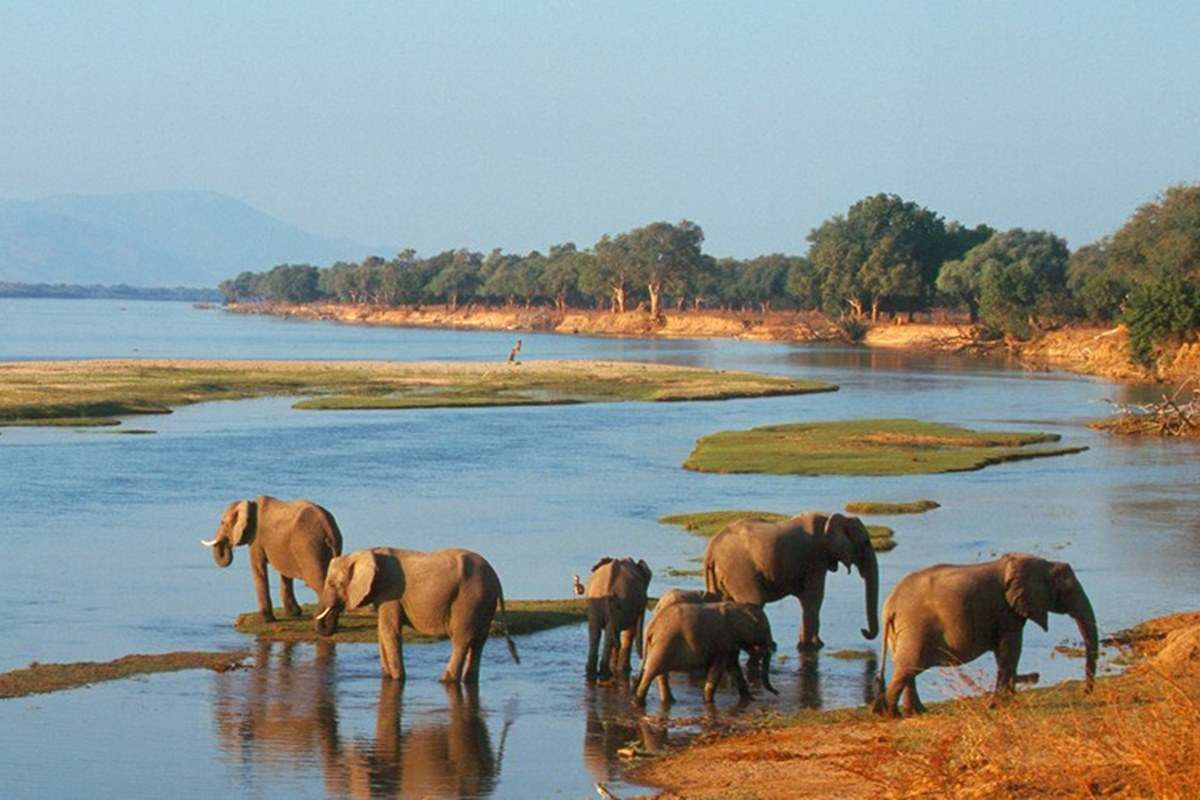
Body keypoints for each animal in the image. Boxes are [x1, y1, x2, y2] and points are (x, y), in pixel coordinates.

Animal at [200, 496, 343, 623]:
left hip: (310, 549)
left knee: (318, 582)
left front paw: (266, 620)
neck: (249, 503)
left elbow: (258, 569)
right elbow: (285, 574)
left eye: (222, 523)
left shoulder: (256, 539)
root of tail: (328, 530)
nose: (229, 547)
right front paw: (293, 614)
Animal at [312, 546, 518, 686]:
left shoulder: (391, 591)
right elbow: (382, 632)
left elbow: (389, 631)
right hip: (484, 601)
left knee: (462, 639)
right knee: (479, 642)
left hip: (469, 599)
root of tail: (496, 578)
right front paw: (386, 677)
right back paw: (467, 680)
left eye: (332, 584)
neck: (365, 552)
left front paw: (397, 679)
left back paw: (445, 680)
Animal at [633, 599, 782, 705]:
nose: (777, 693)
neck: (739, 606)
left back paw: (670, 701)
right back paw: (638, 703)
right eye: (764, 629)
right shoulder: (724, 640)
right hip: (663, 644)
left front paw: (750, 700)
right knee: (652, 672)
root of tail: (651, 627)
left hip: (660, 646)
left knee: (660, 673)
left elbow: (734, 669)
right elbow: (718, 669)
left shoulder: (730, 642)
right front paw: (708, 702)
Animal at [700, 513, 883, 652]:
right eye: (866, 542)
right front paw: (811, 647)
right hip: (739, 570)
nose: (863, 630)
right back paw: (768, 647)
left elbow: (806, 599)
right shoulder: (815, 558)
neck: (830, 519)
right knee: (754, 603)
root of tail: (711, 550)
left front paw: (815, 644)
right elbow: (813, 598)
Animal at [873, 554, 1099, 714]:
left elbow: (1004, 653)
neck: (1040, 562)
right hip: (915, 628)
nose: (1086, 692)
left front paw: (1006, 702)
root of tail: (890, 605)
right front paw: (1000, 705)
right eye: (1067, 590)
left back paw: (916, 713)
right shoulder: (1006, 611)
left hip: (901, 632)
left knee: (907, 668)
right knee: (908, 668)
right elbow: (1011, 650)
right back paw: (893, 715)